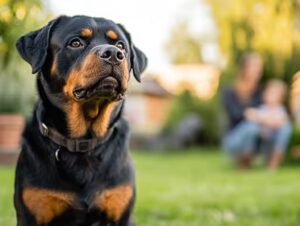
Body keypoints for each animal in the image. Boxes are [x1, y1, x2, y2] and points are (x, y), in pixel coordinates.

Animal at [14, 14, 148, 226]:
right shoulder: (31, 213)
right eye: (75, 43)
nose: (113, 53)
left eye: (121, 45)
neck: (84, 141)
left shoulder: (122, 212)